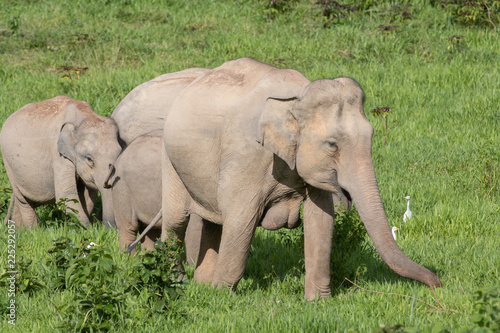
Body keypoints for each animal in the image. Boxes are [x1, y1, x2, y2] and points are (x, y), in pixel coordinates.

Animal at [0, 94, 121, 227]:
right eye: (89, 159)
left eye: (120, 153)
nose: (109, 229)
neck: (85, 116)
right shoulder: (58, 155)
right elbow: (66, 194)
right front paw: (86, 229)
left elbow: (87, 195)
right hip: (7, 163)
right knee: (23, 201)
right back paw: (33, 230)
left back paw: (18, 229)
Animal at [161, 58, 442, 300]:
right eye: (332, 144)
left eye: (372, 135)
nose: (437, 284)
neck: (296, 97)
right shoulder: (245, 156)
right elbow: (241, 221)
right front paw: (221, 296)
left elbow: (321, 220)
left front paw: (318, 302)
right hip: (170, 160)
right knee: (176, 222)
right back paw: (176, 283)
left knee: (213, 223)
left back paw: (201, 285)